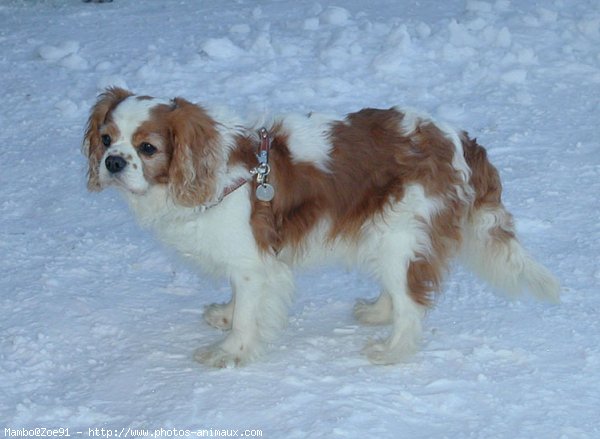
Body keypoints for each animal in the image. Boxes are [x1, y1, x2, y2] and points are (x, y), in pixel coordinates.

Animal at [82, 86, 560, 368]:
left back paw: (392, 350)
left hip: (404, 237)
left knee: (412, 301)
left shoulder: (254, 264)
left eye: (147, 148)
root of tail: (461, 140)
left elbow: (248, 317)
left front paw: (230, 352)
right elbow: (240, 301)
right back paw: (377, 312)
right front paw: (226, 315)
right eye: (106, 140)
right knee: (399, 290)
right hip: (383, 230)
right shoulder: (249, 262)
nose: (114, 162)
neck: (216, 170)